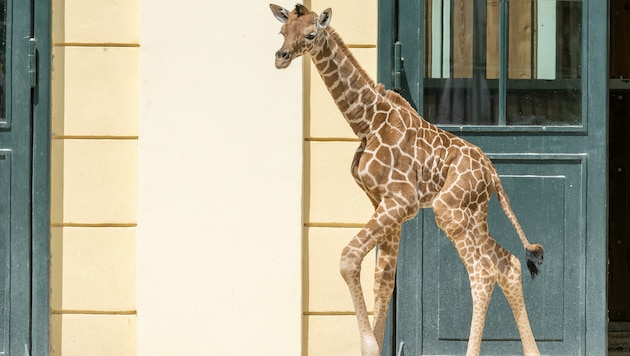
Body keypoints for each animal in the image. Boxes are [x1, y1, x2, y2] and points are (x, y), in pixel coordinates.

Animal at [272, 3, 548, 356]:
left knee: (483, 274)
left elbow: (349, 258)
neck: (367, 122)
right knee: (507, 264)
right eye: (283, 31)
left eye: (310, 34)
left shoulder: (400, 201)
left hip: (449, 210)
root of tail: (493, 174)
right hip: (472, 213)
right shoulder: (385, 204)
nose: (281, 57)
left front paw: (369, 345)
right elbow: (384, 280)